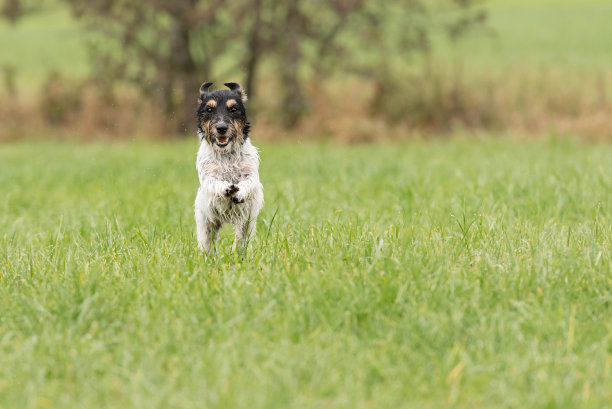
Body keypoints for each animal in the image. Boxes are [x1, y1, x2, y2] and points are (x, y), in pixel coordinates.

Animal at [195, 81, 264, 253]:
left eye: (233, 109)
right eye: (209, 109)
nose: (221, 128)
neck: (226, 155)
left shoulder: (251, 174)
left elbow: (248, 182)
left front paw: (239, 192)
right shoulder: (208, 175)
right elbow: (215, 182)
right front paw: (226, 188)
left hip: (245, 225)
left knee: (239, 244)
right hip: (207, 225)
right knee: (207, 247)